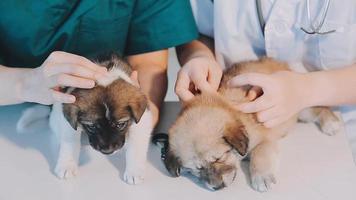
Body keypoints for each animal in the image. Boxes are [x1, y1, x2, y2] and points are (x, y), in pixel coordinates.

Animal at [17, 54, 153, 184]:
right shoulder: (69, 122)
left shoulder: (143, 121)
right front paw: (67, 164)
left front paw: (134, 171)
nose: (107, 151)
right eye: (91, 126)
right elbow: (70, 141)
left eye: (120, 125)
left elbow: (136, 146)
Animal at [164, 58, 342, 192]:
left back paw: (331, 123)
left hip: (301, 109)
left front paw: (262, 177)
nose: (217, 187)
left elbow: (259, 156)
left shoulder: (265, 140)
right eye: (198, 169)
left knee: (321, 108)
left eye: (219, 158)